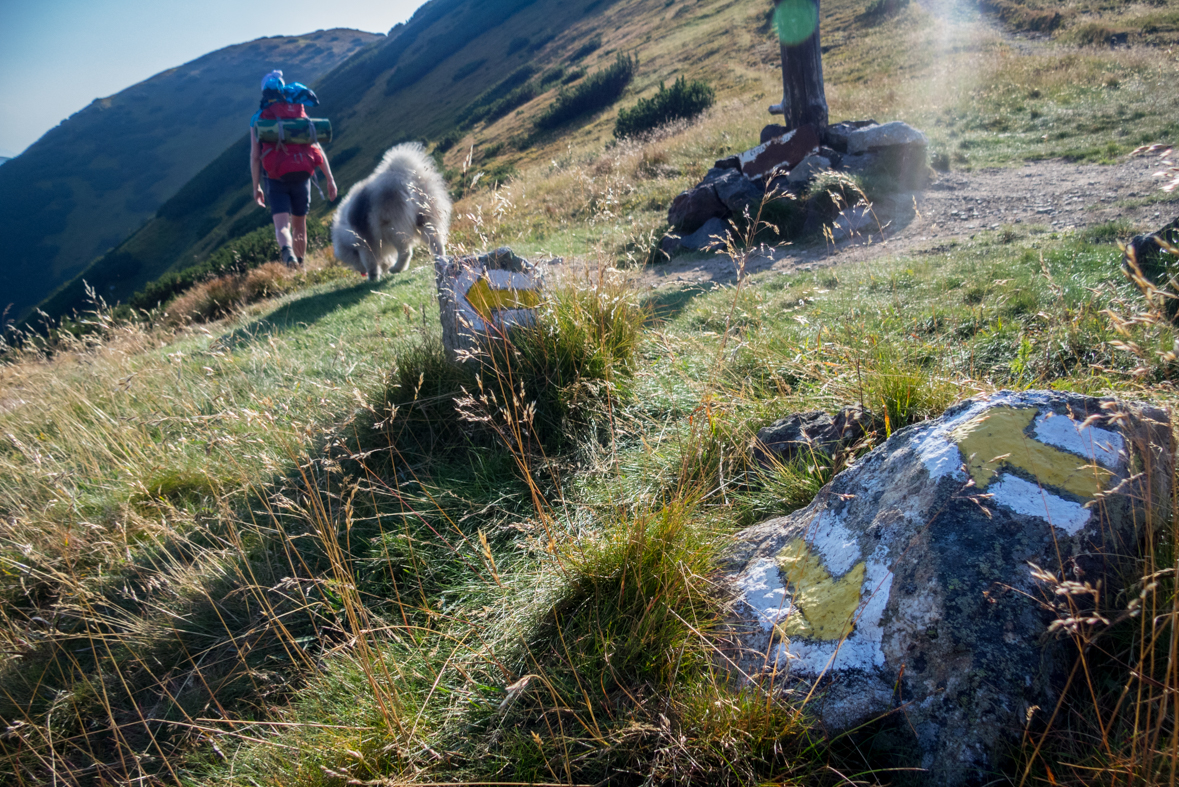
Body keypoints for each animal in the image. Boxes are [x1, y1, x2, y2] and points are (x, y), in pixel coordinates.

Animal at [332, 143, 450, 281]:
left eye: (351, 260)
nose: (361, 271)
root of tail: (404, 175)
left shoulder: (365, 245)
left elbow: (371, 263)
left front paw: (373, 278)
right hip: (425, 219)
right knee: (437, 244)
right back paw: (440, 261)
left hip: (392, 229)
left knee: (405, 252)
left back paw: (396, 268)